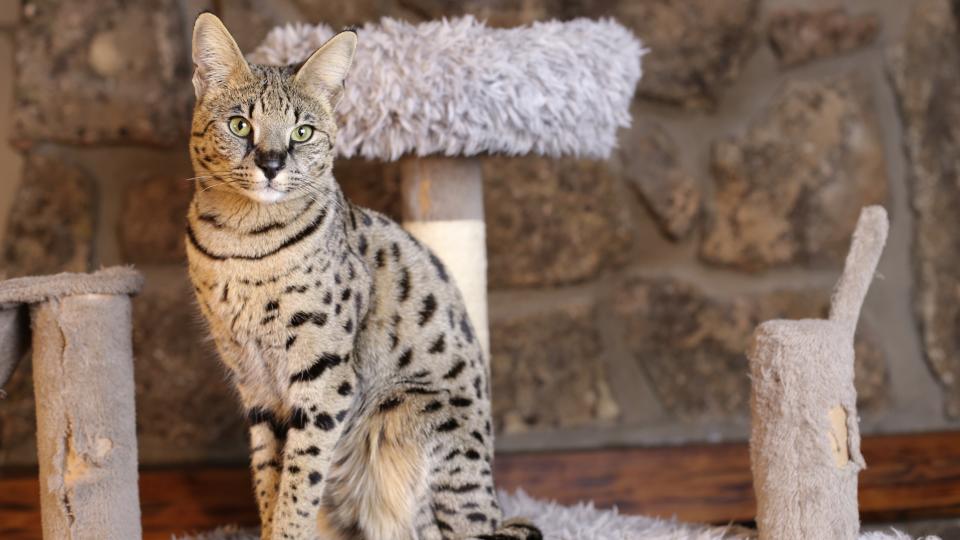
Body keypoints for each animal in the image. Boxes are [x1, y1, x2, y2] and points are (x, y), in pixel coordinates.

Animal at [184, 12, 544, 540]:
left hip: (405, 413)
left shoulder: (324, 377)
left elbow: (300, 479)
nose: (271, 164)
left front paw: (287, 532)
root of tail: (494, 506)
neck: (242, 241)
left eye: (302, 133)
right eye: (239, 125)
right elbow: (269, 475)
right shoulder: (254, 382)